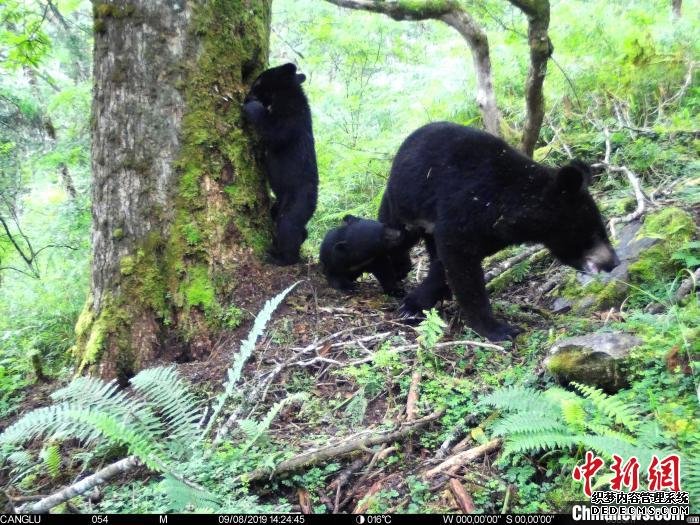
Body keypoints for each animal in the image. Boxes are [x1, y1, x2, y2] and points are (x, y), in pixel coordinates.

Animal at [242, 63, 316, 264]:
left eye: (258, 81)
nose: (247, 93)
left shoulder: (291, 120)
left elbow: (274, 133)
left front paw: (251, 106)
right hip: (280, 204)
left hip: (297, 201)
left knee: (288, 226)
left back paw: (280, 258)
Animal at [382, 121, 616, 342]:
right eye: (591, 233)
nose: (613, 262)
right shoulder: (463, 208)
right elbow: (460, 262)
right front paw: (498, 329)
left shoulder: (493, 233)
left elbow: (445, 263)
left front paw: (421, 301)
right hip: (402, 203)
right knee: (395, 233)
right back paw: (398, 268)